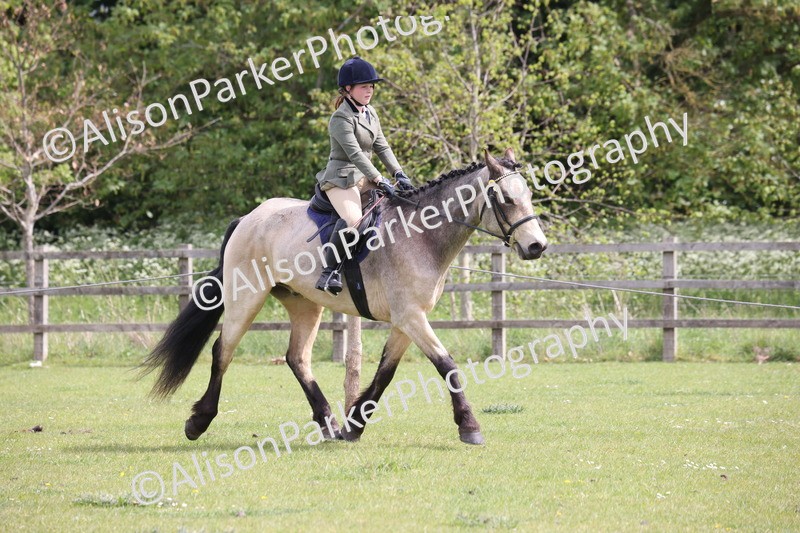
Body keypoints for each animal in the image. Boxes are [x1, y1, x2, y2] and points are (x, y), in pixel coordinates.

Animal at [142, 148, 548, 445]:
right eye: (506, 198)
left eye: (529, 195)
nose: (537, 246)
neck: (421, 235)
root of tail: (249, 218)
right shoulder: (411, 317)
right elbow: (447, 365)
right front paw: (469, 427)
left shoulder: (406, 321)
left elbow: (386, 372)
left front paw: (354, 427)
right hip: (247, 297)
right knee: (222, 351)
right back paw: (199, 421)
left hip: (303, 303)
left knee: (297, 358)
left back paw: (329, 423)